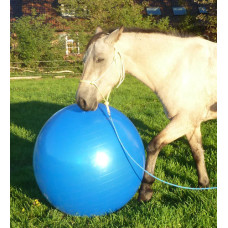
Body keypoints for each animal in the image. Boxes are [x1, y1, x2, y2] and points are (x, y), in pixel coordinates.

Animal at [75, 25, 216, 202]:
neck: (179, 68)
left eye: (100, 59)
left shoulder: (185, 120)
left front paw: (145, 190)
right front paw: (203, 184)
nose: (82, 101)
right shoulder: (191, 123)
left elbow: (154, 145)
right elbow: (197, 152)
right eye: (84, 60)